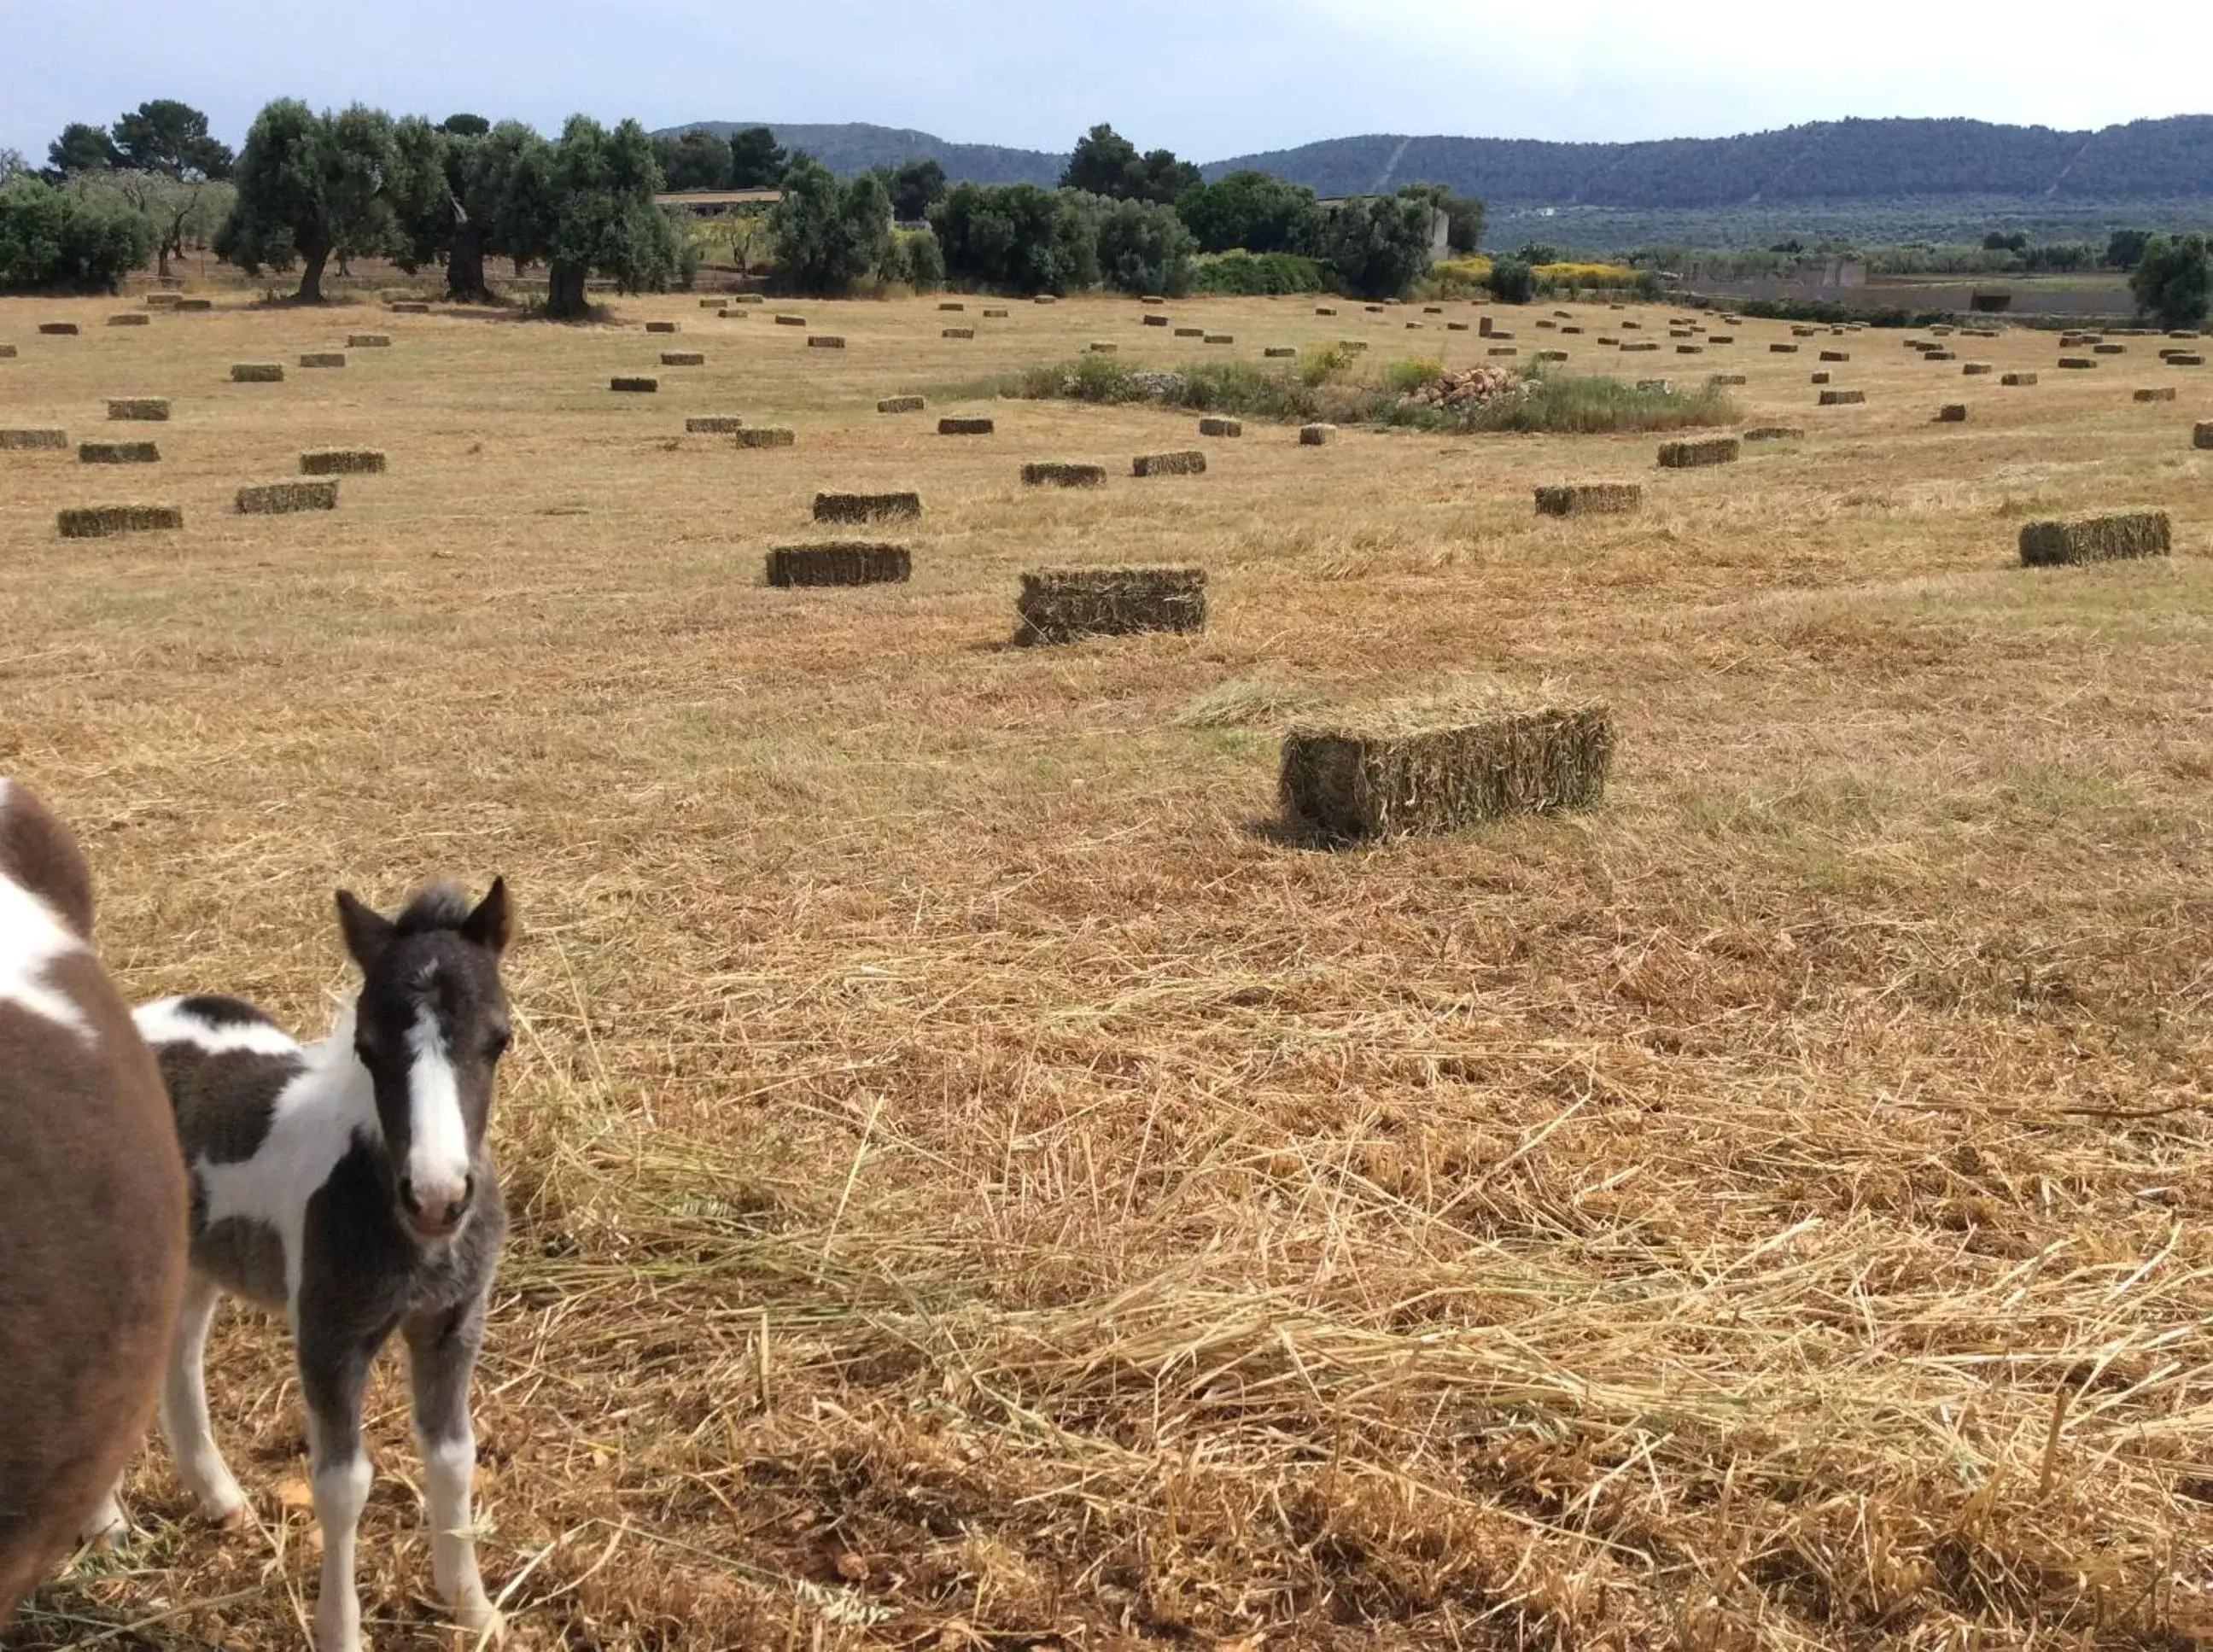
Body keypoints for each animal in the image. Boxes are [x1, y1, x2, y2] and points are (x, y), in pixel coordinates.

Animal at [108, 884, 517, 1645]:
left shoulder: (452, 1323)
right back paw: (108, 1528)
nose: (437, 1197)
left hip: (198, 1256)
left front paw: (475, 1610)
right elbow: (343, 1483)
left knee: (180, 1353)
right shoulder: (330, 1337)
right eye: (367, 1045)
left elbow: (454, 1456)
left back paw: (221, 1498)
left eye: (499, 1038)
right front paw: (342, 1630)